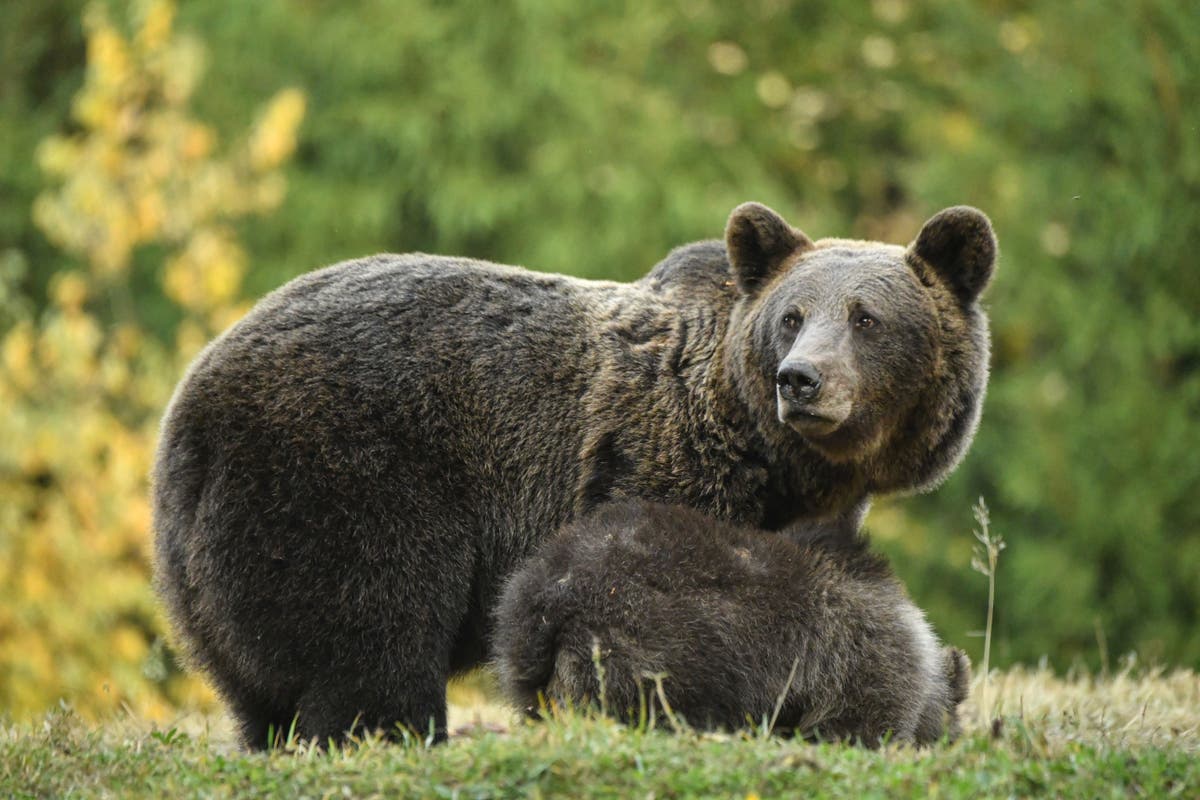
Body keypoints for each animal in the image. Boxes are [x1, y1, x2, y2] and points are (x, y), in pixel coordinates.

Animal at [492, 500, 971, 745]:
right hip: (649, 635)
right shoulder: (861, 662)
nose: (954, 737)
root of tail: (546, 595)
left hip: (524, 653)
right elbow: (859, 722)